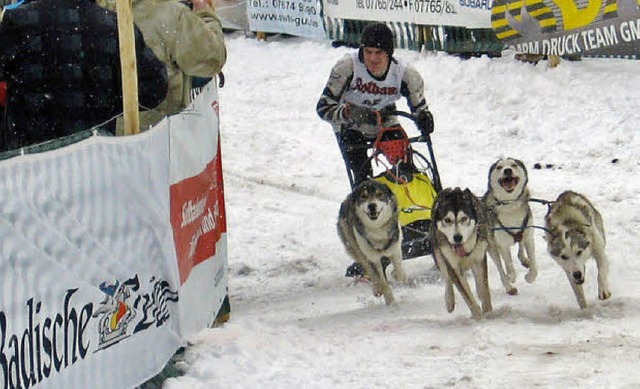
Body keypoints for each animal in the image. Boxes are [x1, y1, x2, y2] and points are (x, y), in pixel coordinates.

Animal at [428, 187, 498, 318]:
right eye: (447, 220)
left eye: (464, 218)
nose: (457, 237)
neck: (465, 251)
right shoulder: (453, 266)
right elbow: (467, 295)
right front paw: (478, 316)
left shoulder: (479, 259)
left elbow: (484, 290)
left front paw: (488, 312)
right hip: (438, 254)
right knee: (446, 277)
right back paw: (449, 300)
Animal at [482, 158, 536, 294]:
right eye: (499, 167)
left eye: (513, 165)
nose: (507, 170)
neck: (510, 205)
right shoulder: (502, 244)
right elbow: (508, 265)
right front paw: (511, 276)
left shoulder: (529, 238)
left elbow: (534, 264)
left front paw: (530, 277)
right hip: (492, 248)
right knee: (500, 268)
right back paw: (509, 287)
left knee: (520, 247)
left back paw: (523, 258)